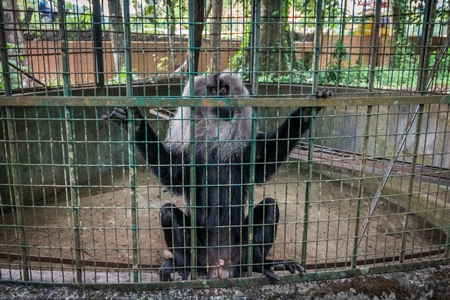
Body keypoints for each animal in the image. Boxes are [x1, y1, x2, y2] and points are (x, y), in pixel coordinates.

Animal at [103, 72, 332, 282]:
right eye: (212, 91)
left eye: (223, 90)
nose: (221, 99)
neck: (217, 138)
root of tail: (220, 267)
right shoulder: (190, 160)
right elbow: (171, 173)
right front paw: (134, 122)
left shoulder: (245, 154)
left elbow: (267, 156)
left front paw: (308, 110)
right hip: (200, 255)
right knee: (167, 211)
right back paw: (182, 267)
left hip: (241, 251)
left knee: (269, 206)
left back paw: (261, 265)